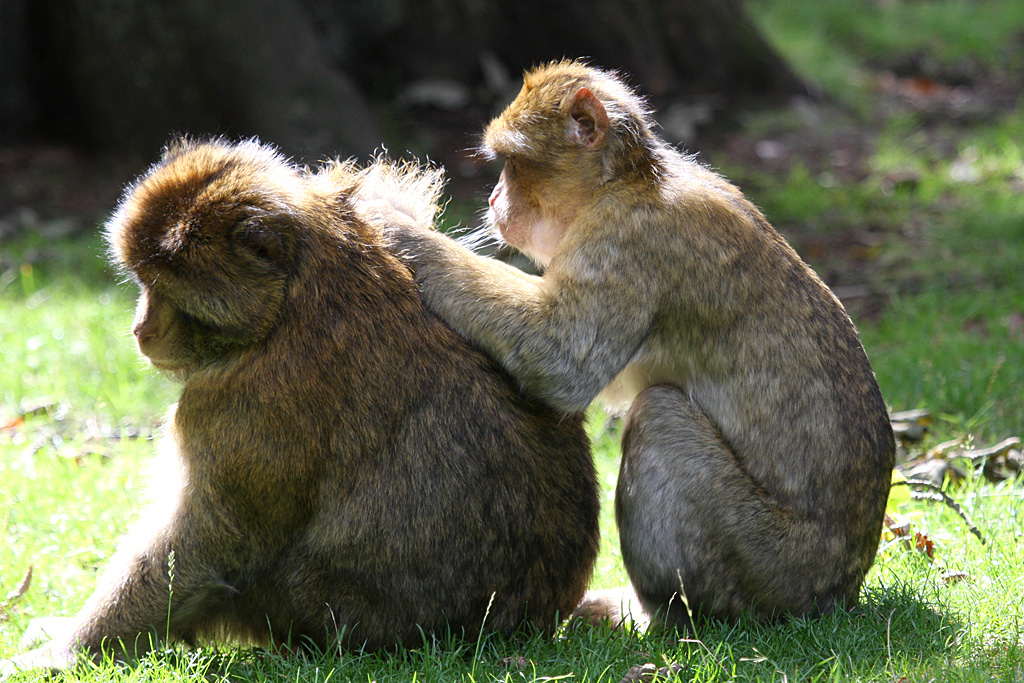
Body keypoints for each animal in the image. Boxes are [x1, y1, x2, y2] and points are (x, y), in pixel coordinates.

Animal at [0, 138, 599, 675]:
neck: (291, 294)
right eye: (143, 282)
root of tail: (533, 620)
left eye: (166, 290)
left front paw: (65, 654)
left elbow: (208, 539)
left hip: (328, 607)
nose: (141, 328)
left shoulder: (244, 400)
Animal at [375, 60, 896, 628]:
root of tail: (840, 591)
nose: (493, 200)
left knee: (659, 416)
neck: (623, 181)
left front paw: (392, 224)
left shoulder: (626, 238)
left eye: (512, 164)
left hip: (770, 566)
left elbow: (564, 361)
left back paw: (661, 616)